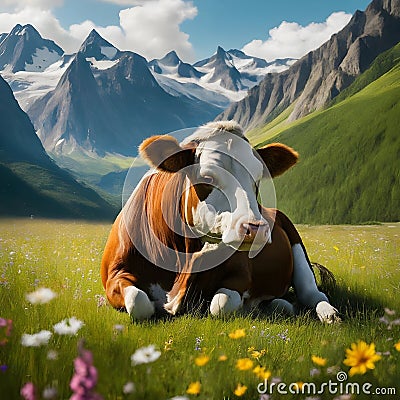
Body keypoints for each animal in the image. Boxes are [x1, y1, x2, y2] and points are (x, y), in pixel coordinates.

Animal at [101, 120, 340, 324]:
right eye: (207, 178)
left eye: (257, 179)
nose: (256, 229)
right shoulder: (114, 274)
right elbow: (139, 302)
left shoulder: (242, 274)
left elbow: (221, 305)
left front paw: (246, 306)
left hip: (296, 244)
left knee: (311, 293)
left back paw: (327, 314)